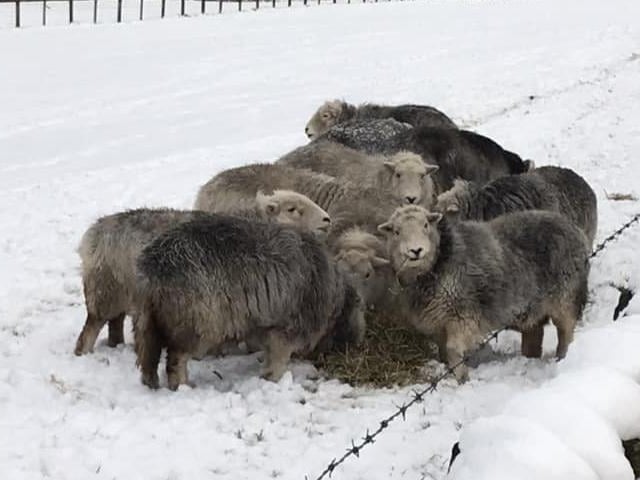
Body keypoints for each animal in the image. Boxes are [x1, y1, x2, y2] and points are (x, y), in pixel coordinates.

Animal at [74, 190, 330, 356]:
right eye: (292, 209)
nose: (327, 220)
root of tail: (92, 234)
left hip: (120, 295)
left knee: (115, 323)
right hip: (104, 291)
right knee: (90, 330)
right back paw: (84, 353)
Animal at [134, 214, 365, 390]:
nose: (356, 346)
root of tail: (155, 267)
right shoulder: (289, 325)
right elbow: (279, 355)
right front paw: (273, 378)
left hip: (146, 322)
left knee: (148, 358)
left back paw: (150, 382)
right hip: (196, 322)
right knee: (175, 358)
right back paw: (182, 385)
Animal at [377, 205, 590, 382]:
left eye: (425, 225)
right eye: (396, 232)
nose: (416, 250)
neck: (441, 260)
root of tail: (574, 228)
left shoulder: (463, 315)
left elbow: (453, 349)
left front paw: (462, 377)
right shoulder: (439, 322)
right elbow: (444, 351)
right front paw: (449, 370)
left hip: (565, 298)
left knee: (566, 333)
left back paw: (562, 358)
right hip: (531, 306)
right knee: (535, 332)